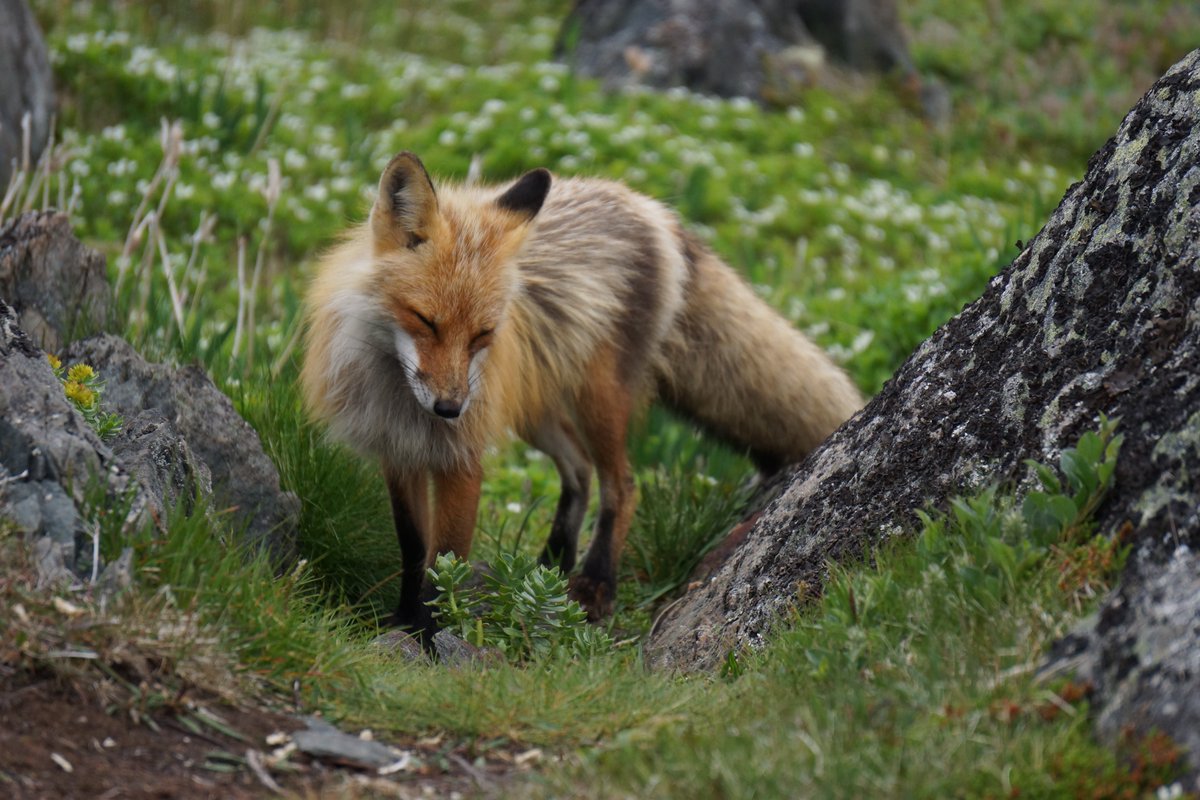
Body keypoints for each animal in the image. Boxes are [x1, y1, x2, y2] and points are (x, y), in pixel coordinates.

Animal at [300, 151, 863, 639]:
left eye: (483, 334)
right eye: (426, 321)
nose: (450, 409)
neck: (395, 390)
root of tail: (651, 209)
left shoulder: (462, 460)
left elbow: (446, 562)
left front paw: (429, 636)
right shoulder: (398, 451)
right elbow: (414, 549)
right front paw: (401, 620)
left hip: (599, 399)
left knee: (623, 484)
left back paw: (594, 585)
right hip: (538, 406)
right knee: (579, 469)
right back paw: (550, 565)